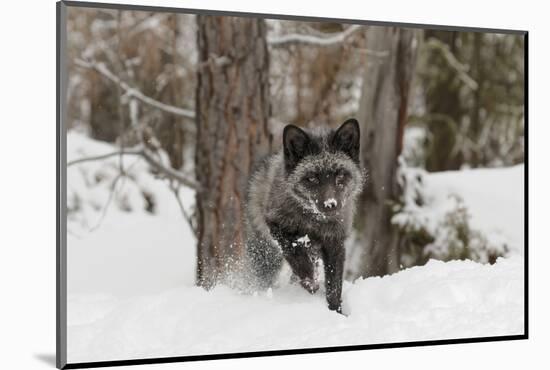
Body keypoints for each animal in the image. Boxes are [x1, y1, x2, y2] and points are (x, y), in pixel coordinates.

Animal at [247, 118, 366, 312]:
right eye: (312, 178)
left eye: (340, 175)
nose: (330, 204)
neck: (313, 222)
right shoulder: (277, 225)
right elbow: (295, 255)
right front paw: (310, 281)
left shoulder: (335, 243)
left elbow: (334, 287)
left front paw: (336, 312)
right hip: (266, 255)